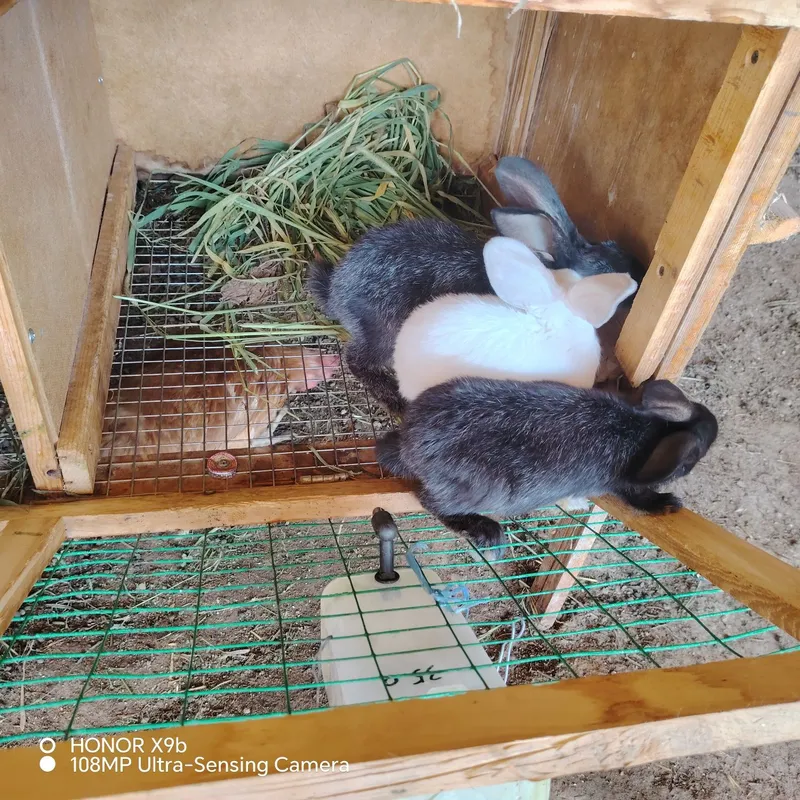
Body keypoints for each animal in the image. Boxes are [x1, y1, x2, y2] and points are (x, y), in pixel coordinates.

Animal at [377, 378, 718, 550]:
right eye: (692, 458)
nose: (715, 425)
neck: (648, 430)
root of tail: (410, 446)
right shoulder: (622, 485)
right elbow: (640, 498)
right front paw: (668, 503)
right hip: (477, 490)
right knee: (431, 503)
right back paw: (488, 531)